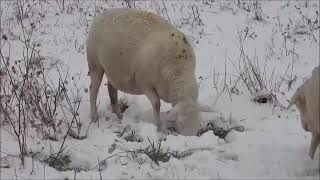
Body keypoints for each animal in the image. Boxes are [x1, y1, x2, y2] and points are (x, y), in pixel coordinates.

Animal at [85, 7, 200, 136]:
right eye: (181, 122)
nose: (190, 135)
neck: (179, 69)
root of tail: (101, 15)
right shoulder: (145, 84)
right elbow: (156, 104)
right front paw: (159, 127)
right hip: (95, 63)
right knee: (93, 89)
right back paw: (94, 116)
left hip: (113, 69)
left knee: (111, 88)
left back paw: (119, 115)